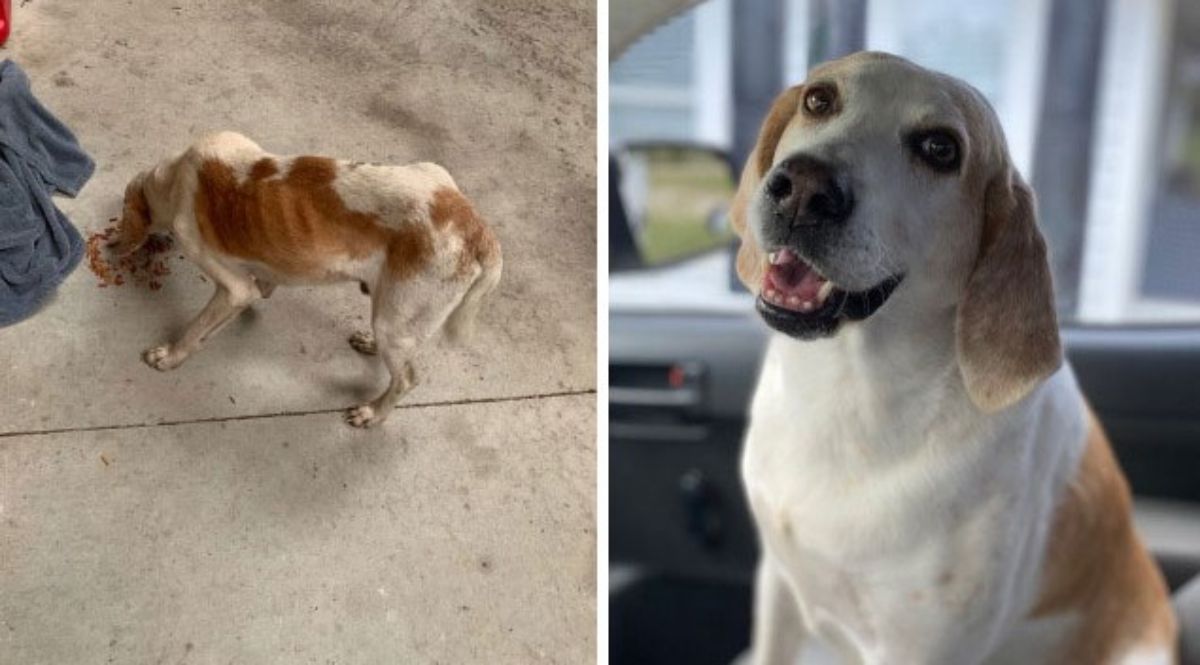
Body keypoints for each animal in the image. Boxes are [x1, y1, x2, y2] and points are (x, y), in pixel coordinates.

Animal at [114, 132, 499, 427]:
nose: (114, 245)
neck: (177, 175)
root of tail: (477, 229)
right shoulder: (251, 281)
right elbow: (257, 290)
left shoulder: (233, 287)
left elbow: (196, 330)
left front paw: (169, 357)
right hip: (395, 305)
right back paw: (369, 343)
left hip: (396, 320)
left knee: (406, 379)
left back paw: (373, 414)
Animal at [734, 53, 1176, 662]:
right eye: (819, 100)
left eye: (940, 148)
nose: (803, 188)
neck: (850, 392)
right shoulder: (778, 584)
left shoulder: (919, 647)